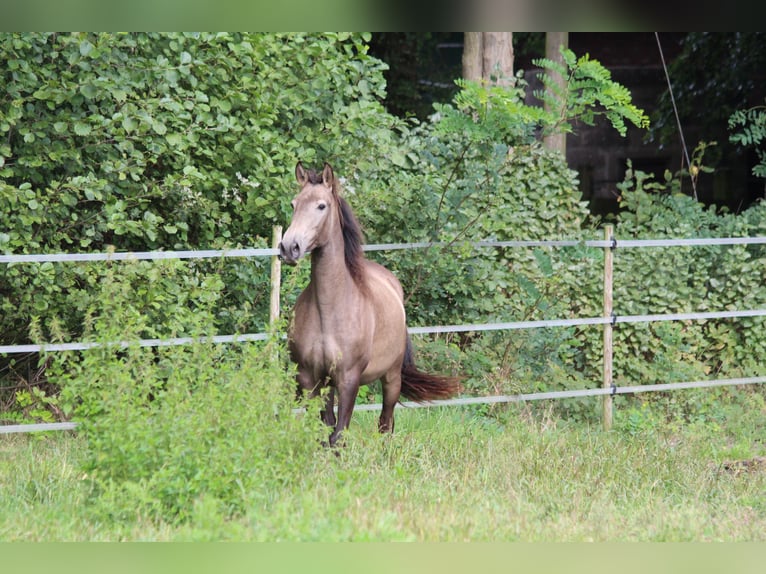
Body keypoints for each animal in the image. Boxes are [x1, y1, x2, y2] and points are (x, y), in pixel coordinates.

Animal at [280, 164, 462, 448]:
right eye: (294, 204)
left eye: (321, 206)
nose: (289, 247)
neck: (329, 310)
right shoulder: (311, 378)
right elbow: (324, 431)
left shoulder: (349, 379)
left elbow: (339, 435)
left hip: (392, 378)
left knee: (385, 423)